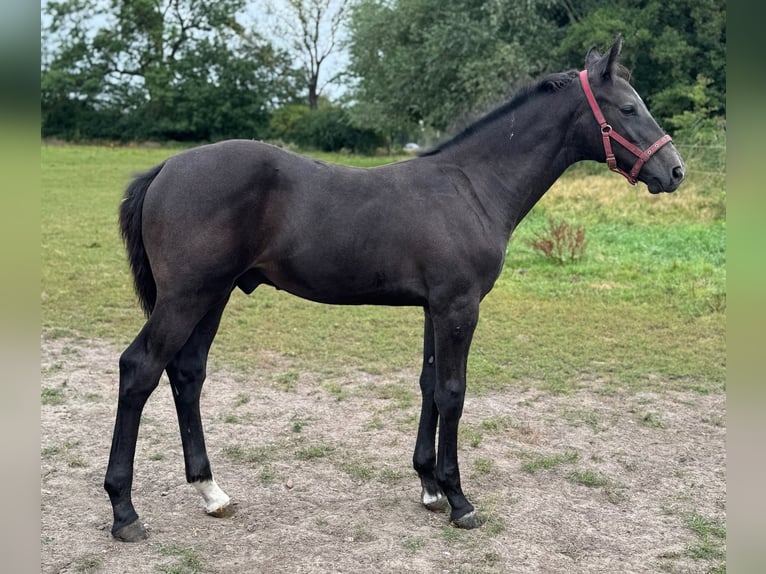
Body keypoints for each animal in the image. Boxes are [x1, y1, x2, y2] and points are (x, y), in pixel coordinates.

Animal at [104, 34, 685, 541]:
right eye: (629, 108)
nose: (674, 171)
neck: (472, 187)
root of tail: (166, 168)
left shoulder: (435, 308)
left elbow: (428, 386)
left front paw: (428, 486)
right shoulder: (458, 308)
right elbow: (452, 393)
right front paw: (458, 500)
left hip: (215, 295)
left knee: (187, 373)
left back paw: (211, 492)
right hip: (187, 297)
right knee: (139, 370)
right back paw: (125, 512)